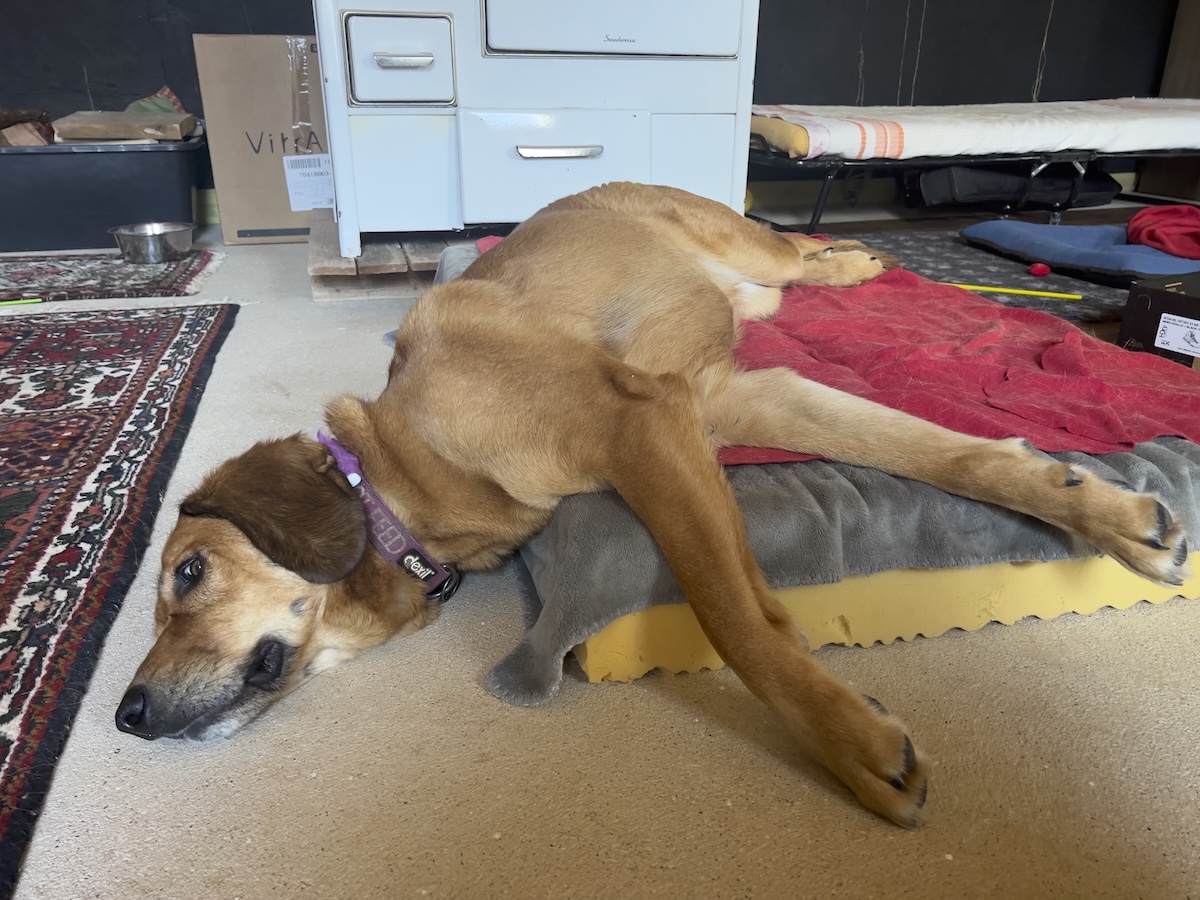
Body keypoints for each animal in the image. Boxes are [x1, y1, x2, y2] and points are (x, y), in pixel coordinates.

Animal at [117, 183, 1185, 830]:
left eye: (188, 572)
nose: (123, 716)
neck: (408, 466)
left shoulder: (641, 423)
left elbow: (733, 613)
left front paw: (849, 743)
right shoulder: (724, 403)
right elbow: (936, 452)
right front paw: (1106, 510)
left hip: (739, 249)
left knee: (792, 245)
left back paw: (853, 259)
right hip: (753, 316)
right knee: (788, 277)